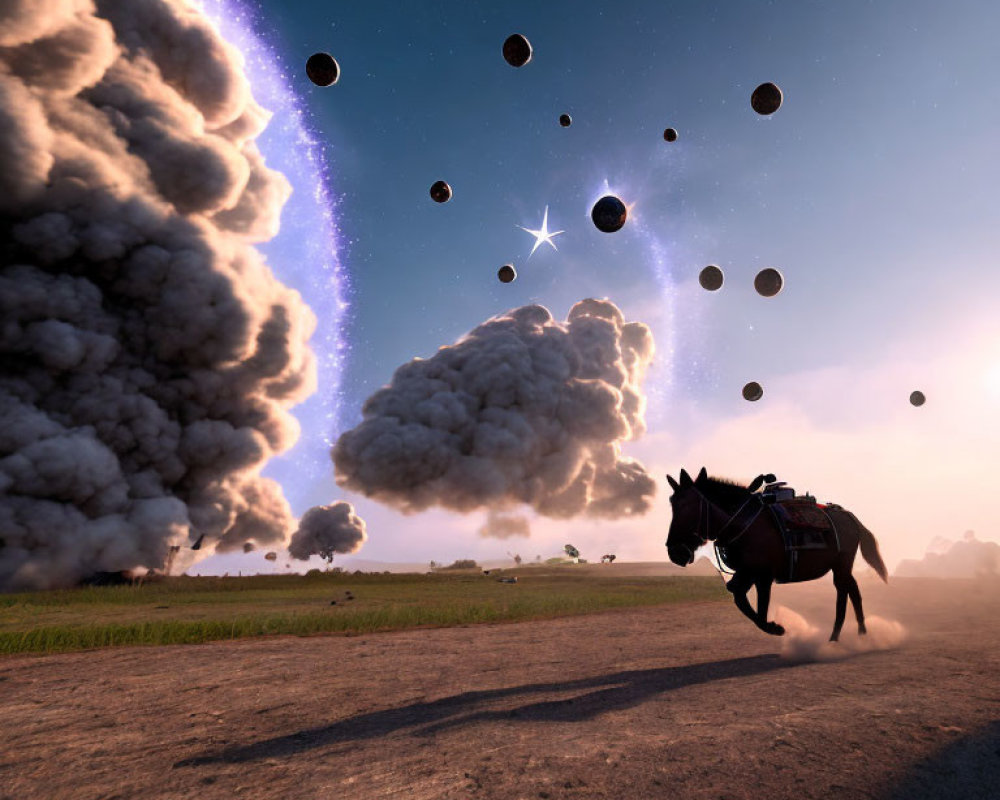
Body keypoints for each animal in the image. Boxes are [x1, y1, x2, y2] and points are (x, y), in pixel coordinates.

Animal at [668, 466, 888, 640]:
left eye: (688, 506)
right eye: (672, 504)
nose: (675, 552)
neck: (745, 525)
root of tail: (849, 516)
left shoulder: (763, 576)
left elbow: (761, 607)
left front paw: (776, 628)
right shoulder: (747, 573)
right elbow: (738, 596)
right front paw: (774, 627)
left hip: (842, 565)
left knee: (846, 592)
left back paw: (844, 635)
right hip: (839, 567)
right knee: (851, 590)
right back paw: (852, 634)